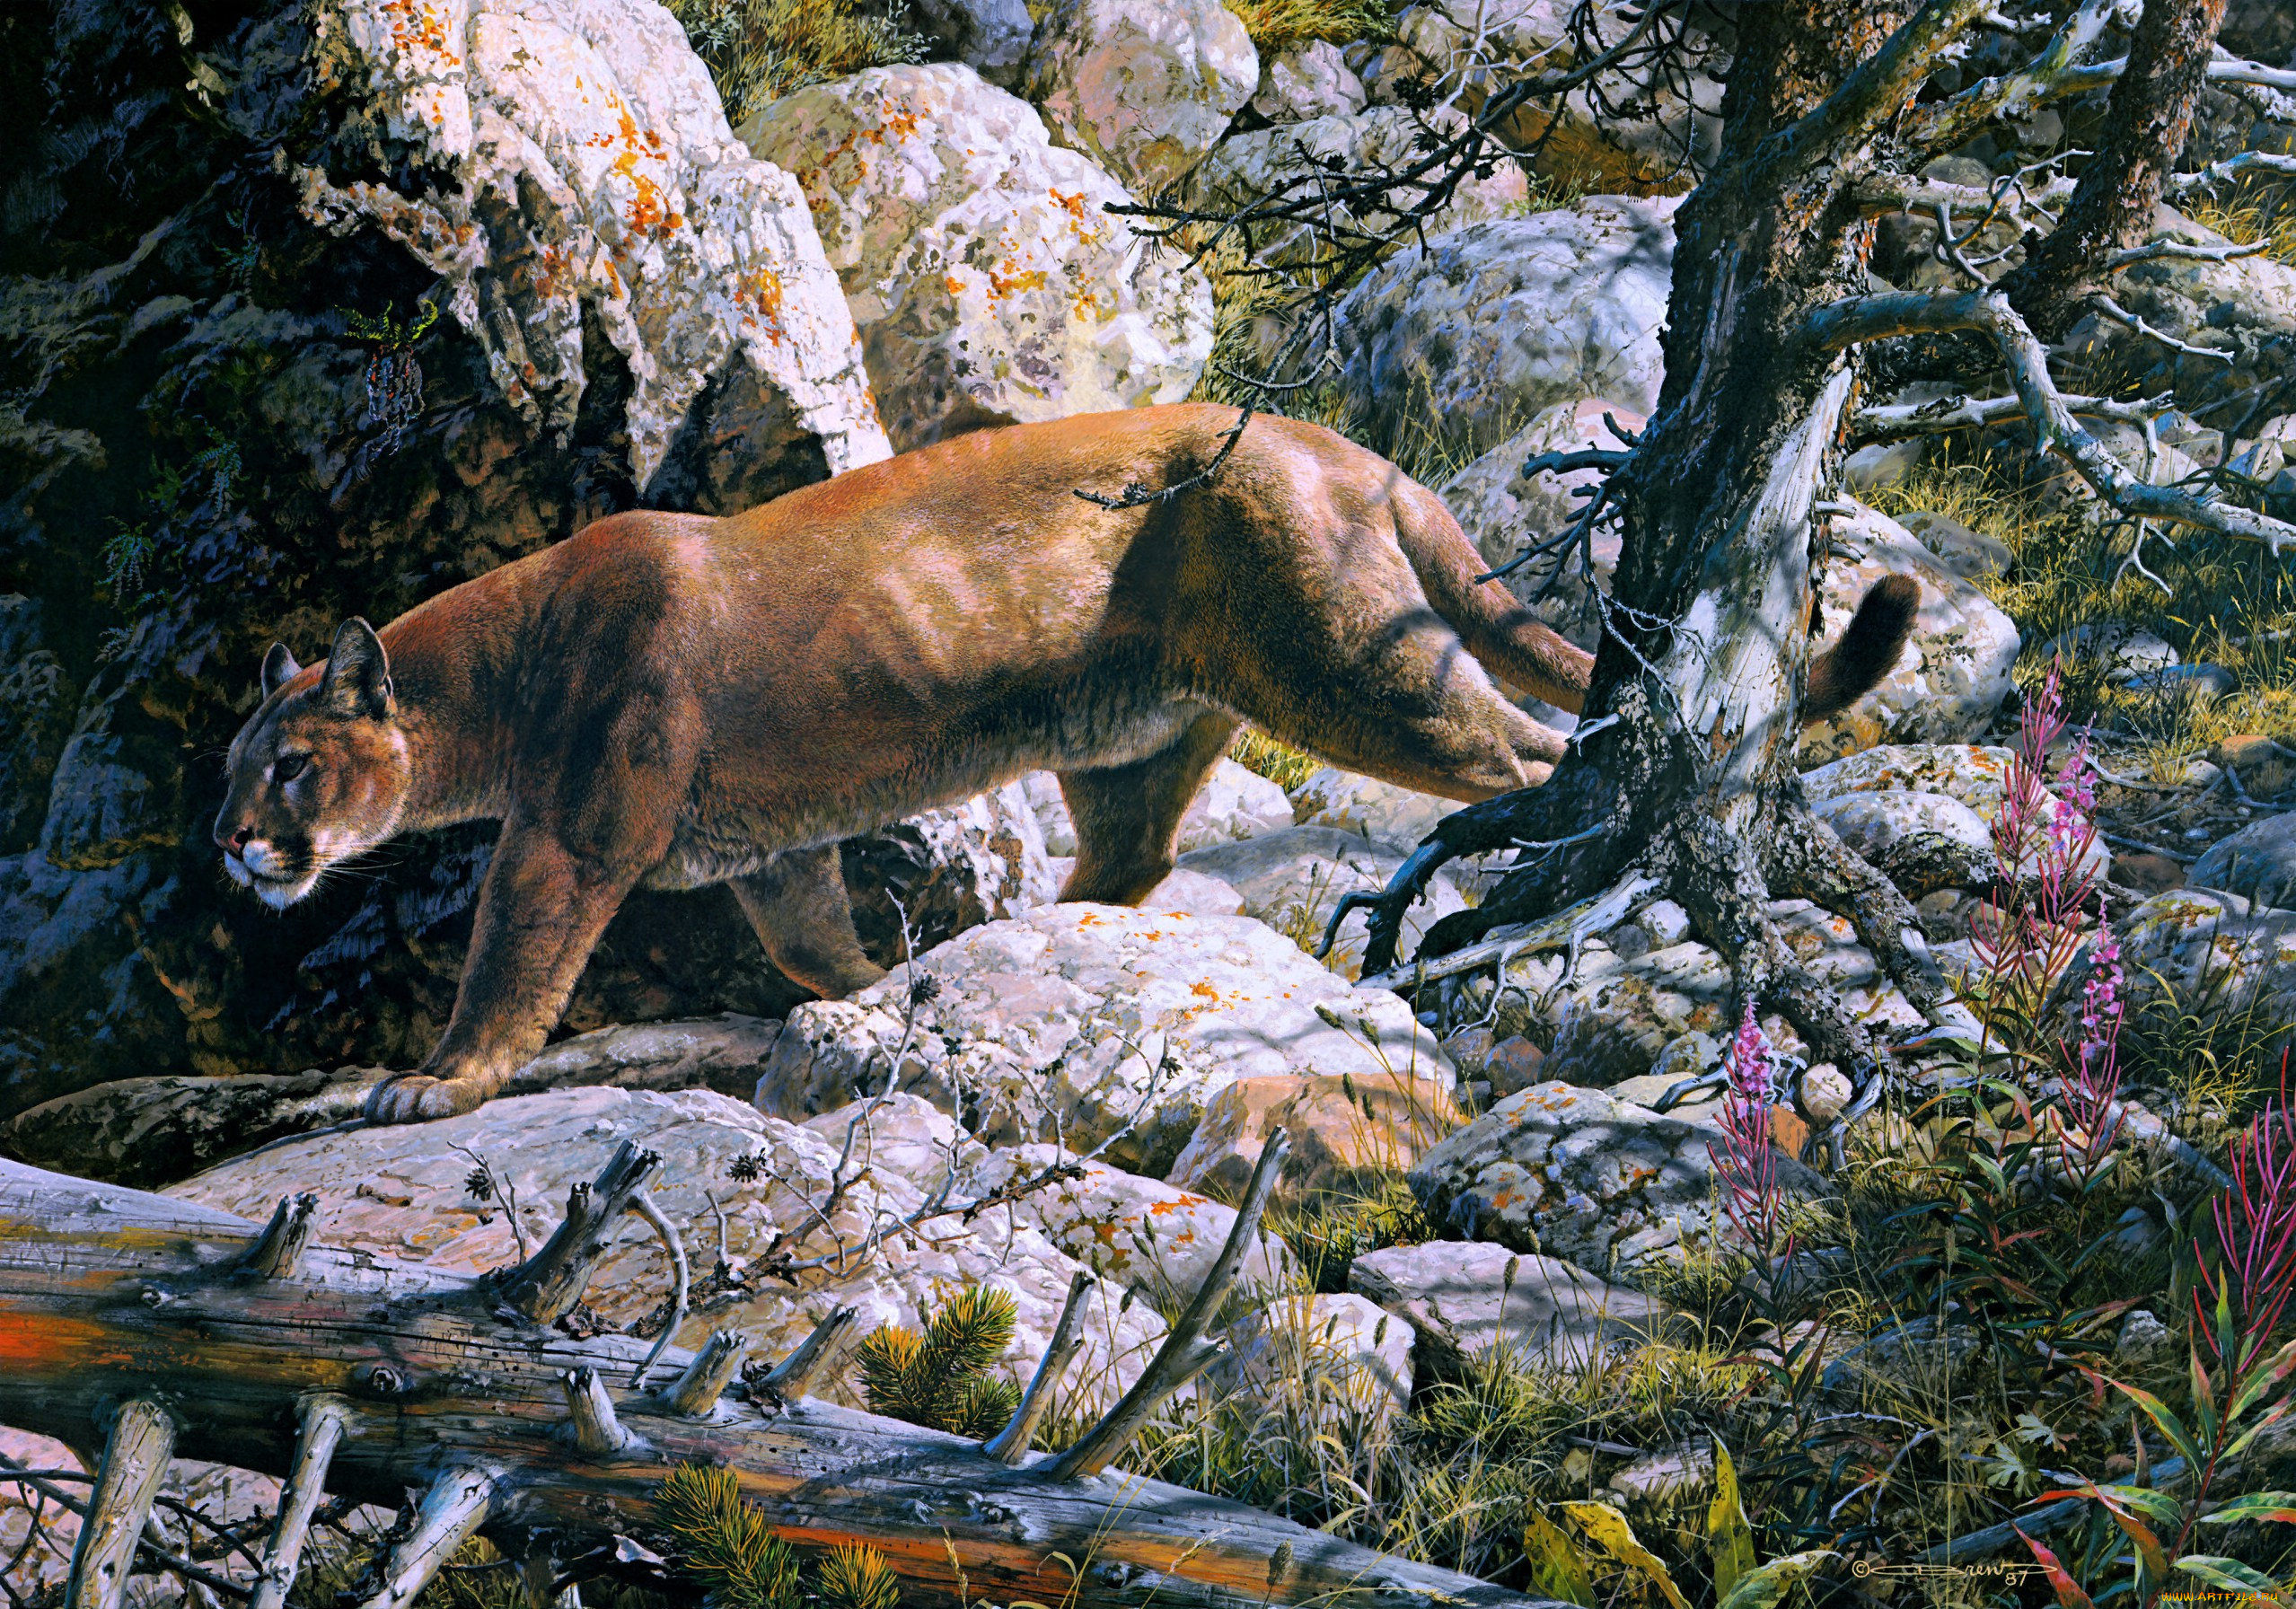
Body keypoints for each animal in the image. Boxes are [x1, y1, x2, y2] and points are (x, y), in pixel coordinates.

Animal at [213, 405, 1916, 1123]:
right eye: (229, 771)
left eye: (290, 767)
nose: (231, 845)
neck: (495, 679)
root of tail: (1349, 451)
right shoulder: (771, 847)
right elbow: (812, 941)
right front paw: (869, 1001)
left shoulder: (571, 832)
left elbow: (513, 951)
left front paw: (438, 1079)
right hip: (1140, 735)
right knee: (1133, 859)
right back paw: (1036, 936)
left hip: (1354, 671)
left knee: (1540, 739)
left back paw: (1568, 832)